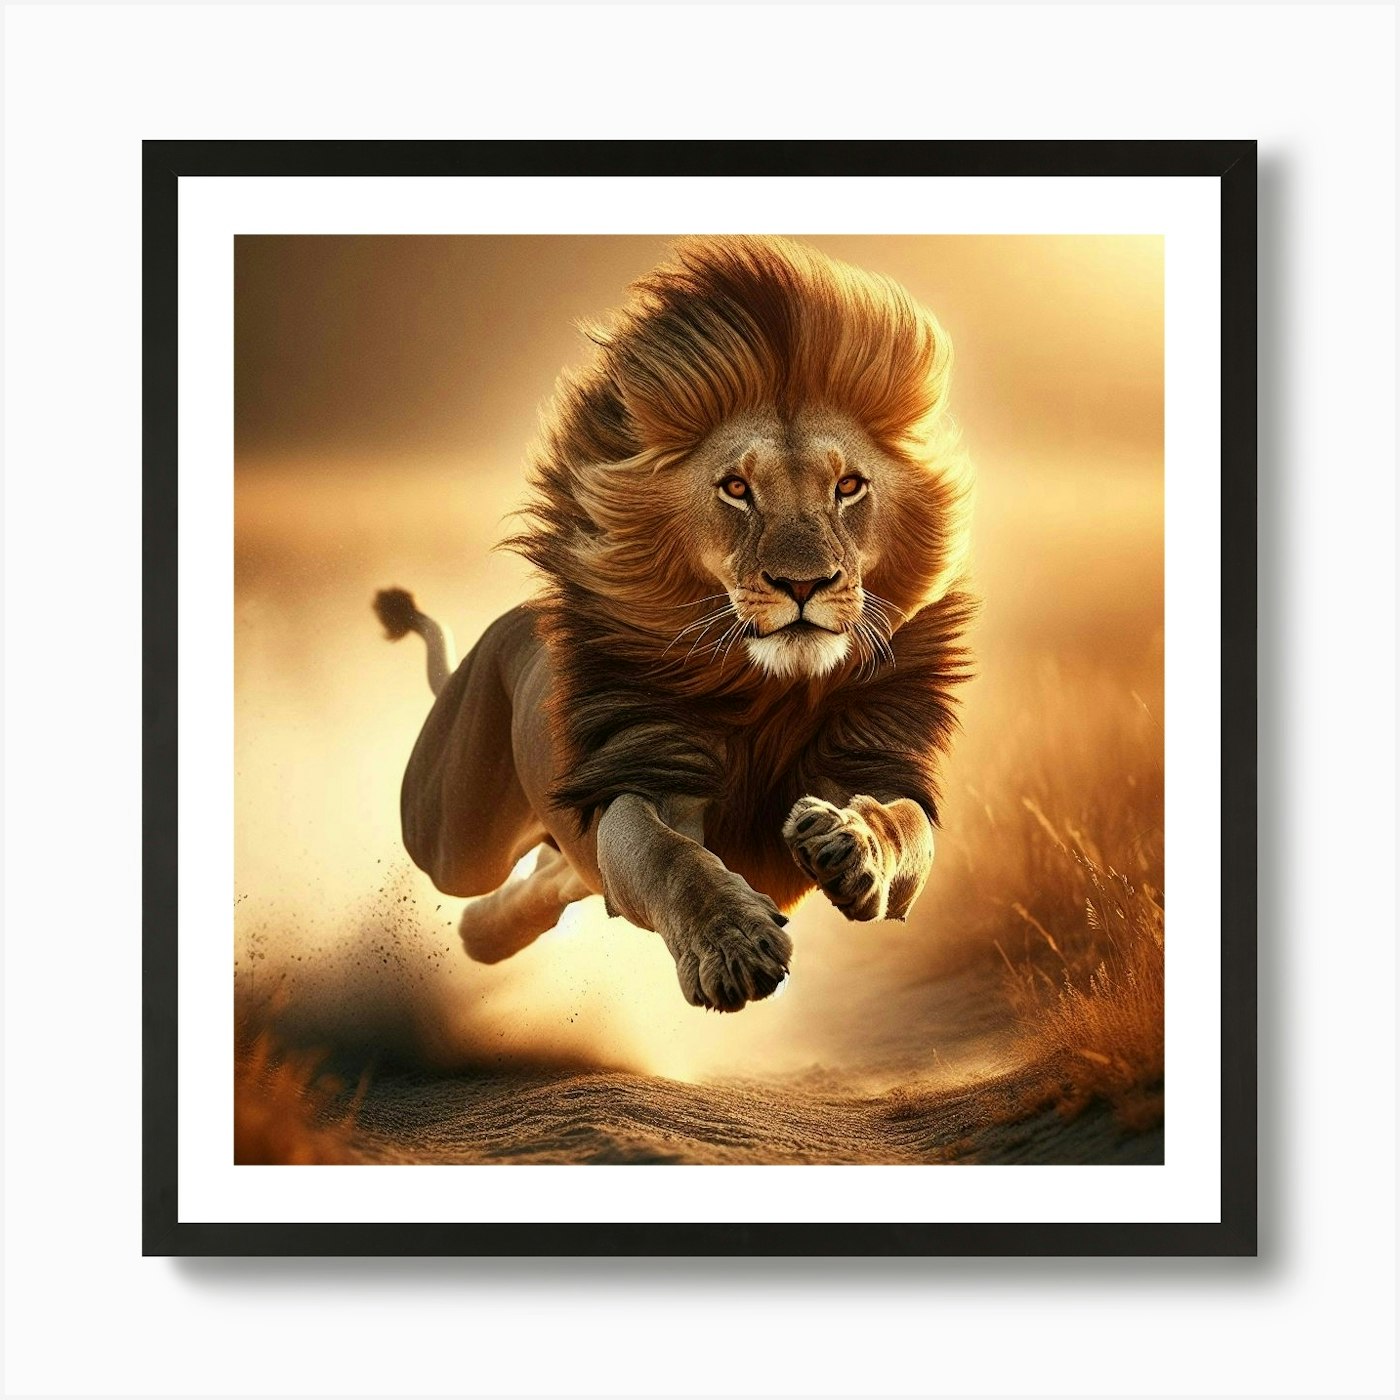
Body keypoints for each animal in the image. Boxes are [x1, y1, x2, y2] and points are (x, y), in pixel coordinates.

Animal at [374, 235, 975, 1012]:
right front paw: (731, 944)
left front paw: (846, 844)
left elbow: (901, 827)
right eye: (736, 488)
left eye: (848, 487)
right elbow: (671, 857)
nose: (804, 583)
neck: (770, 694)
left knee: (560, 876)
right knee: (504, 866)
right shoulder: (648, 772)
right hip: (451, 834)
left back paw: (490, 932)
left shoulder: (872, 761)